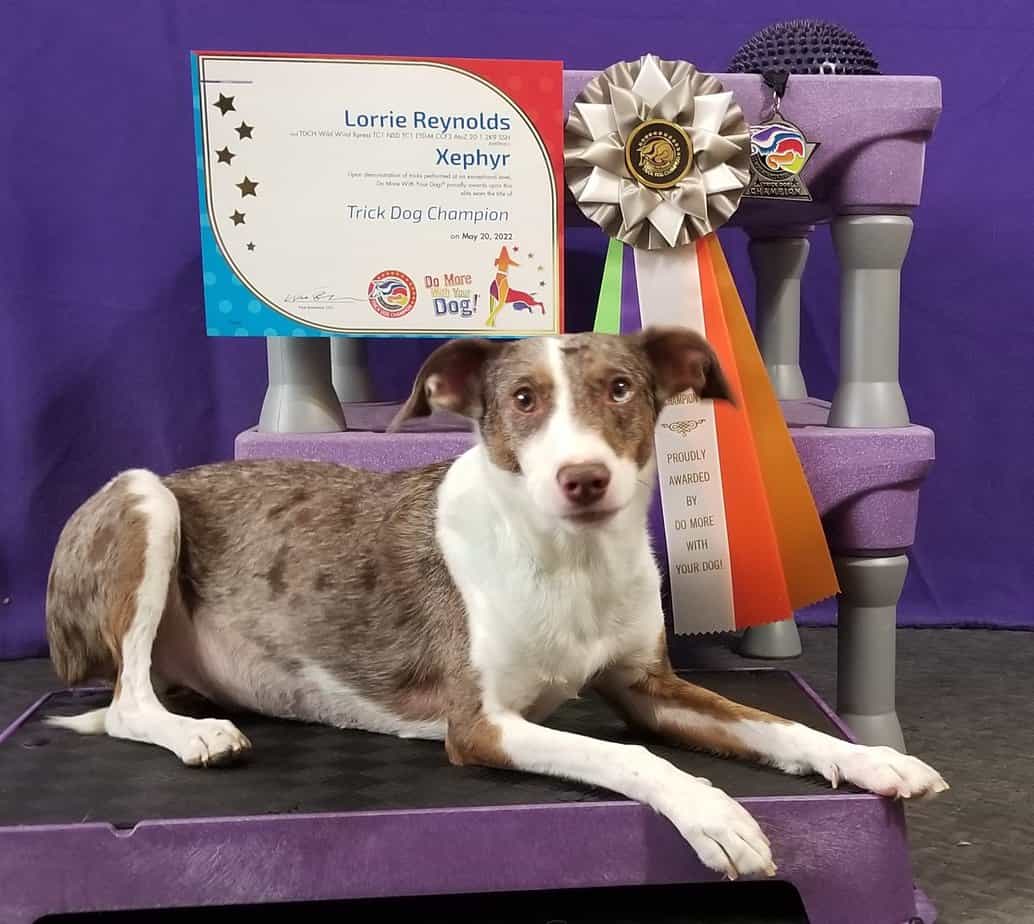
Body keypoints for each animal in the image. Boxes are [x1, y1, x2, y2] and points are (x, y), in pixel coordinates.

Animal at [46, 328, 947, 880]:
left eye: (622, 388)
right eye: (521, 400)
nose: (583, 479)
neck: (570, 559)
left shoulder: (648, 688)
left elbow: (778, 724)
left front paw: (870, 758)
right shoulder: (482, 727)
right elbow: (632, 756)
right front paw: (712, 813)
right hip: (145, 498)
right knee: (127, 703)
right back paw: (195, 733)